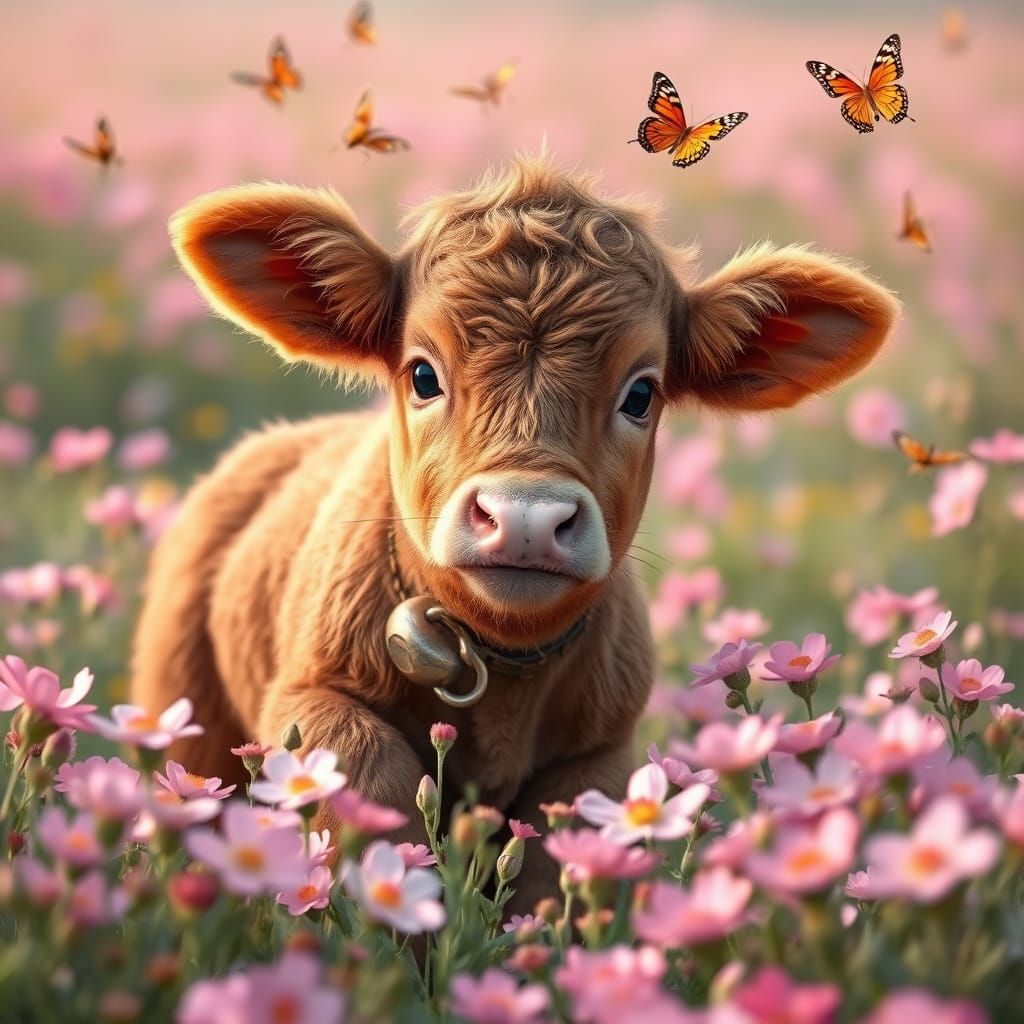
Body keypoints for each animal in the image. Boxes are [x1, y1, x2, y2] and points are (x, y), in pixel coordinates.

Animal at [131, 154, 898, 908]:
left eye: (641, 393)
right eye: (422, 373)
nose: (526, 517)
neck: (501, 672)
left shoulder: (598, 756)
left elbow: (550, 873)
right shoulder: (308, 696)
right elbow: (371, 782)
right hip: (184, 704)